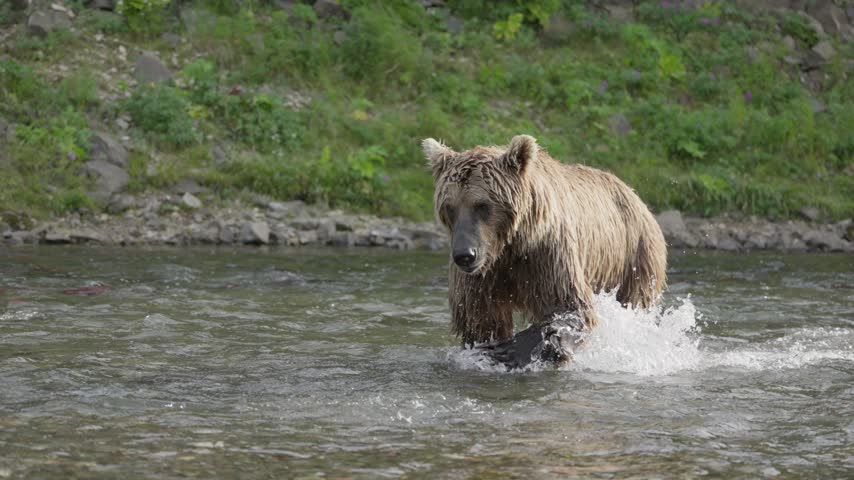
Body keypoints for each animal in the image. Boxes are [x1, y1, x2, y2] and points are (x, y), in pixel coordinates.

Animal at [423, 134, 667, 355]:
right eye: (450, 207)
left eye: (482, 205)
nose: (465, 255)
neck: (509, 246)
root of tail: (633, 194)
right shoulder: (484, 275)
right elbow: (481, 319)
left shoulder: (545, 254)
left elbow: (568, 305)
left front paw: (521, 348)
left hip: (634, 255)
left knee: (635, 301)